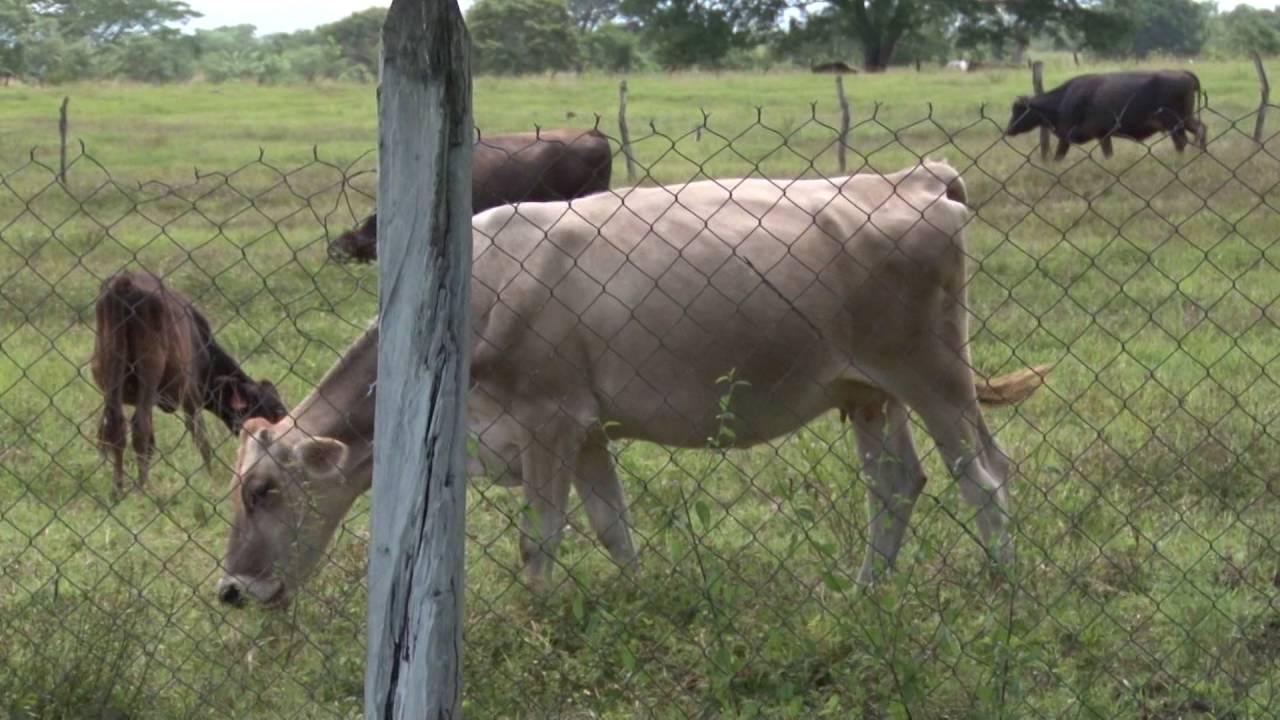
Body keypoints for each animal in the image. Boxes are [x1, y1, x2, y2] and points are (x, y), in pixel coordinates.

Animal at [90, 269, 288, 491]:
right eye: (277, 412)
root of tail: (126, 282)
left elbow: (106, 438)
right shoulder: (190, 393)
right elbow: (201, 437)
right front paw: (211, 478)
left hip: (111, 368)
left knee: (116, 427)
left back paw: (117, 489)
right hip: (150, 371)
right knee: (140, 429)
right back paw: (142, 489)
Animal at [1003, 70, 1203, 159]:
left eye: (1018, 110)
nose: (1008, 130)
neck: (1066, 98)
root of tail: (1183, 73)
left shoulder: (1067, 136)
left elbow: (1058, 156)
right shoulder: (1103, 135)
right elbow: (1108, 153)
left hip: (1174, 122)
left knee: (1182, 141)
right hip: (1186, 119)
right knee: (1200, 129)